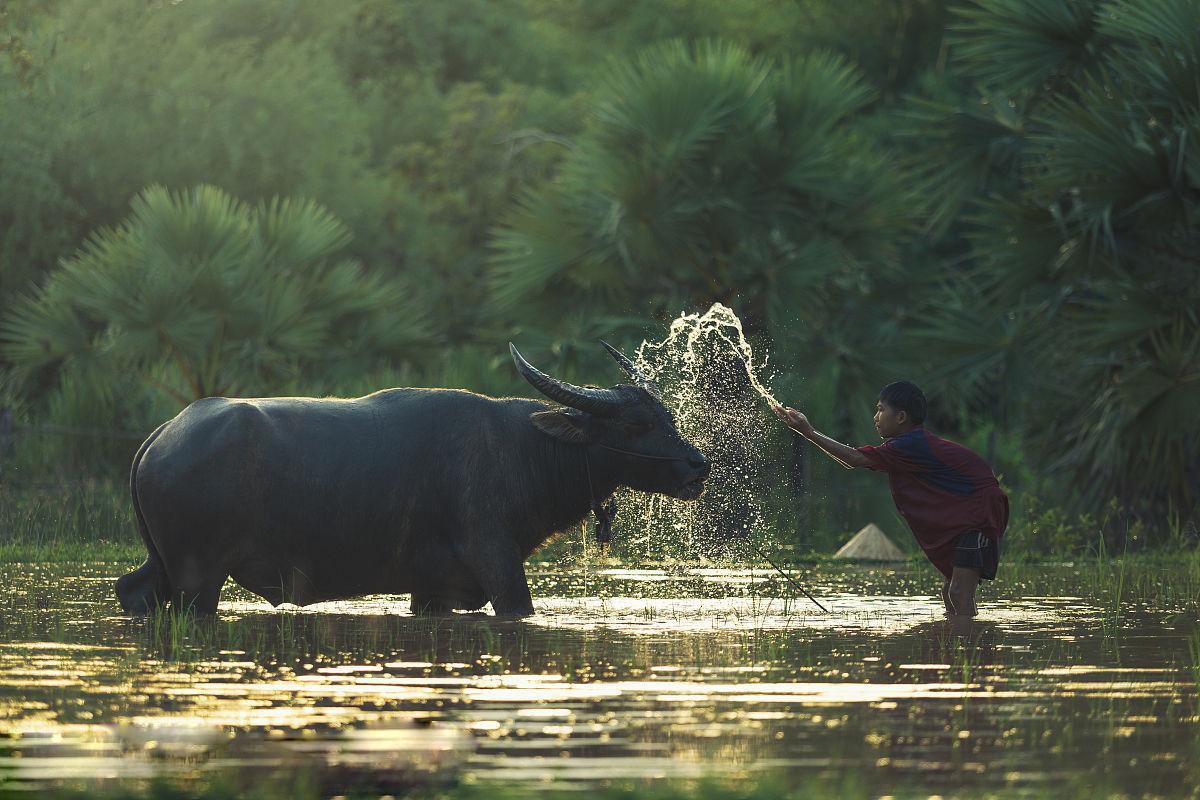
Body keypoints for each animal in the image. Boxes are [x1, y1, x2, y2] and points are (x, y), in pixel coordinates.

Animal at [113, 340, 705, 618]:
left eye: (667, 414)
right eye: (636, 423)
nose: (697, 465)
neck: (521, 451)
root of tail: (160, 437)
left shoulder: (432, 590)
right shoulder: (498, 561)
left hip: (162, 566)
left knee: (131, 590)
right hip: (198, 579)